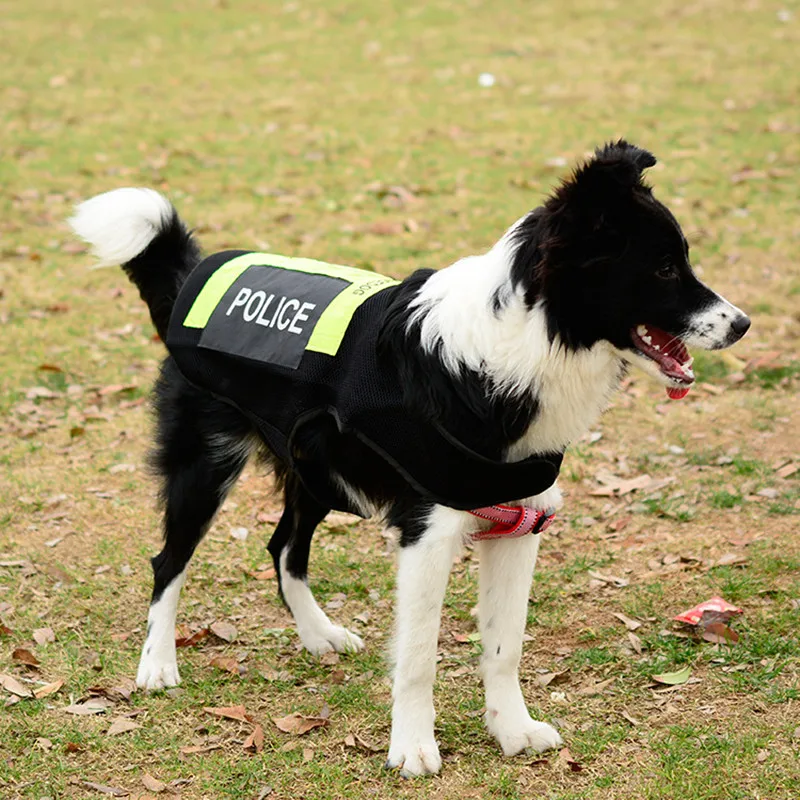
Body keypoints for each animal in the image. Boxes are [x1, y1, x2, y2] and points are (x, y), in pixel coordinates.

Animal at [69, 142, 752, 776]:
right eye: (663, 268)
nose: (743, 324)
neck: (515, 350)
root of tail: (194, 276)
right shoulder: (427, 531)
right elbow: (420, 656)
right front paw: (414, 748)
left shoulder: (521, 525)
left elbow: (505, 645)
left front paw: (511, 730)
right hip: (206, 467)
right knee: (170, 562)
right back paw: (158, 663)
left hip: (319, 472)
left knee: (284, 548)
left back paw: (319, 634)